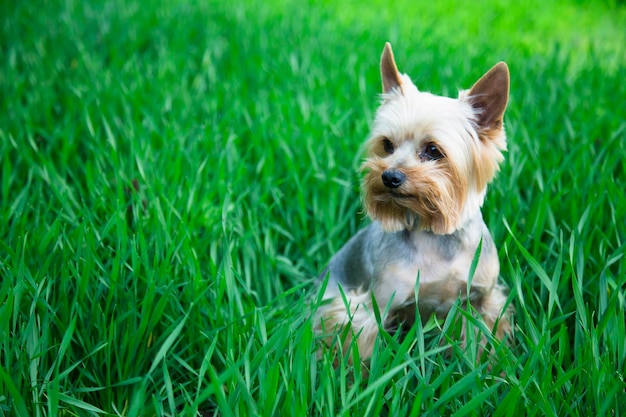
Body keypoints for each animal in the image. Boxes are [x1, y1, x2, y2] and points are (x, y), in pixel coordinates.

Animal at [314, 43, 510, 360]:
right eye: (387, 145)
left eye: (433, 150)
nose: (389, 176)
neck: (432, 232)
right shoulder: (377, 305)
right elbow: (364, 350)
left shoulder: (482, 300)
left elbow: (481, 343)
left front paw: (487, 367)